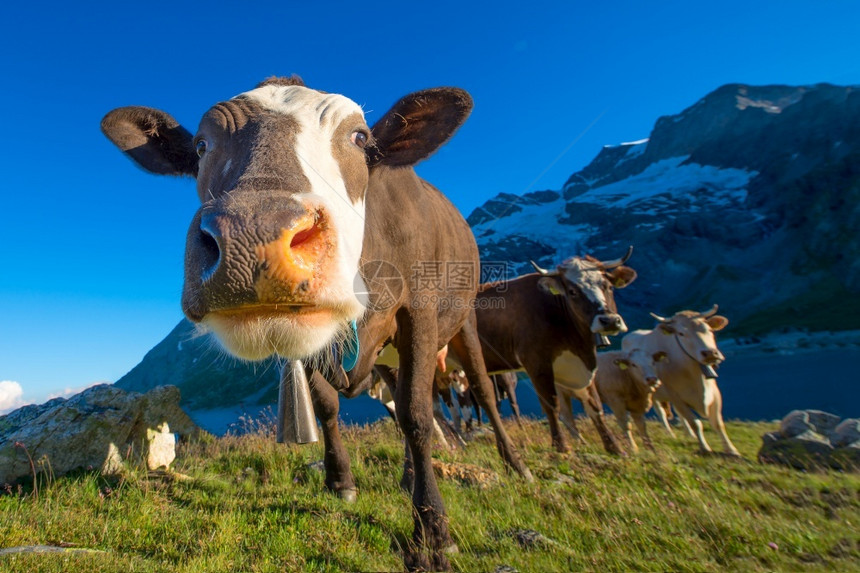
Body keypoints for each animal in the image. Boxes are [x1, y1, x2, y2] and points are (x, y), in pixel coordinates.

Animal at [101, 77, 532, 572]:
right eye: (201, 146)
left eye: (361, 138)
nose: (253, 237)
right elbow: (329, 406)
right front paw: (340, 481)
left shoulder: (419, 311)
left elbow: (417, 415)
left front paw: (434, 532)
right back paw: (407, 476)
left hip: (464, 322)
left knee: (481, 390)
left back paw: (515, 465)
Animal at [474, 248, 636, 454]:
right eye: (573, 291)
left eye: (607, 286)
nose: (609, 321)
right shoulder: (536, 362)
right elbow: (551, 405)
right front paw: (561, 447)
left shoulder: (579, 364)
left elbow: (594, 405)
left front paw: (614, 447)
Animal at [620, 304, 740, 456]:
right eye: (681, 334)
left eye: (709, 330)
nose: (710, 353)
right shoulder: (676, 396)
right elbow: (695, 423)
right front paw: (705, 448)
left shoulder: (715, 393)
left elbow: (718, 423)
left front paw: (731, 450)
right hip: (654, 393)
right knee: (662, 413)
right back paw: (670, 433)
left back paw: (689, 434)